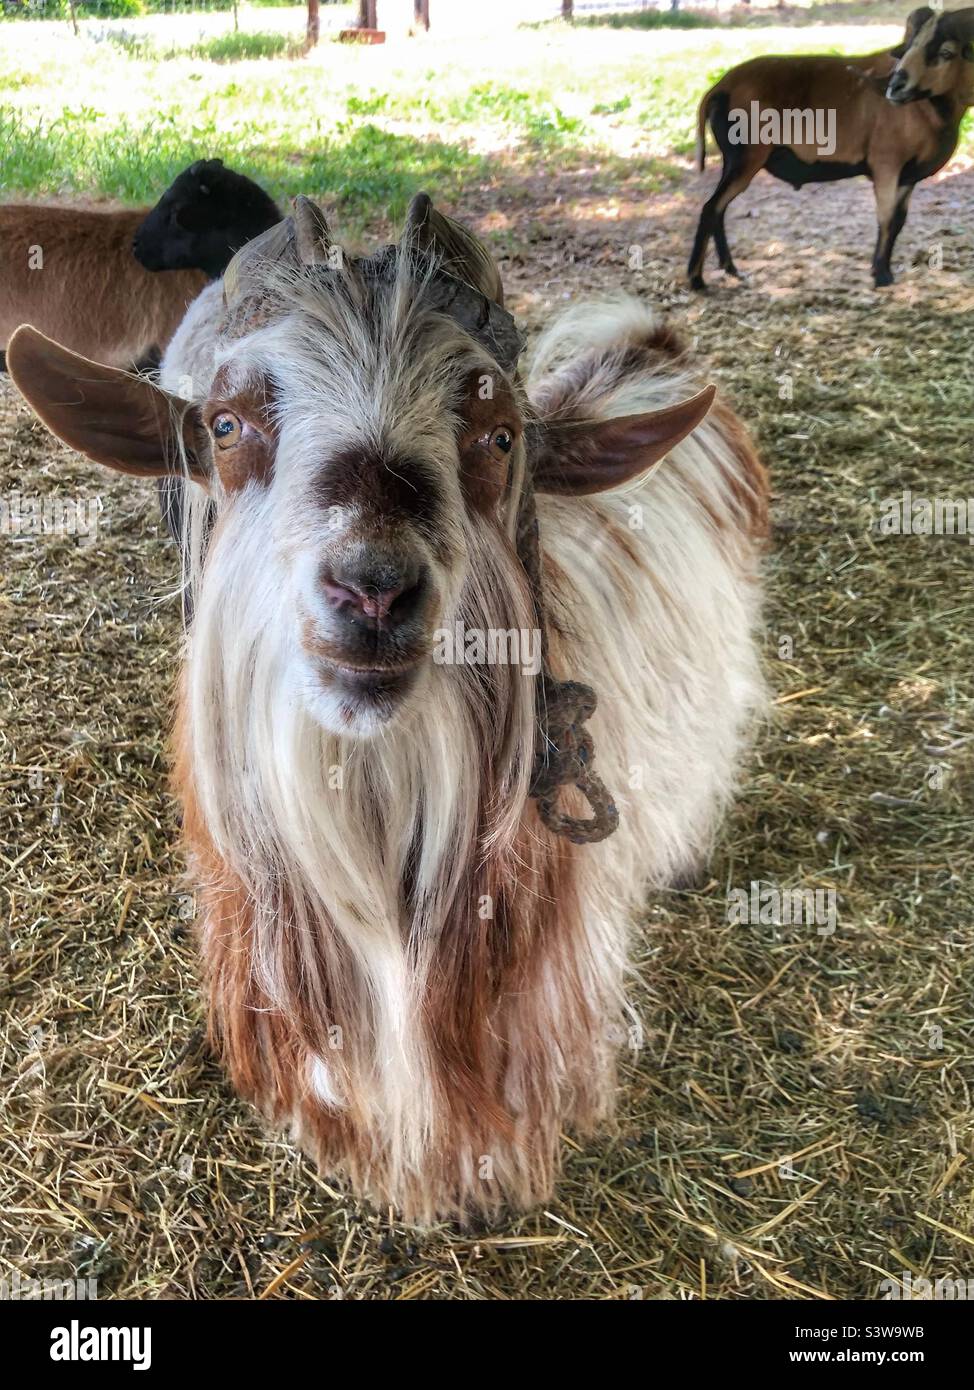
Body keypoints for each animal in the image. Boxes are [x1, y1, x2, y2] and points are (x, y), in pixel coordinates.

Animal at [686, 6, 967, 290]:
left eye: (946, 52)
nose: (896, 88)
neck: (930, 109)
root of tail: (718, 89)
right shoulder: (887, 164)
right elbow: (886, 219)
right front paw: (881, 276)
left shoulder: (908, 176)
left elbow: (898, 222)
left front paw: (882, 271)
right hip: (746, 157)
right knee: (711, 208)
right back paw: (697, 279)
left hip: (732, 160)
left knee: (719, 209)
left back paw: (731, 269)